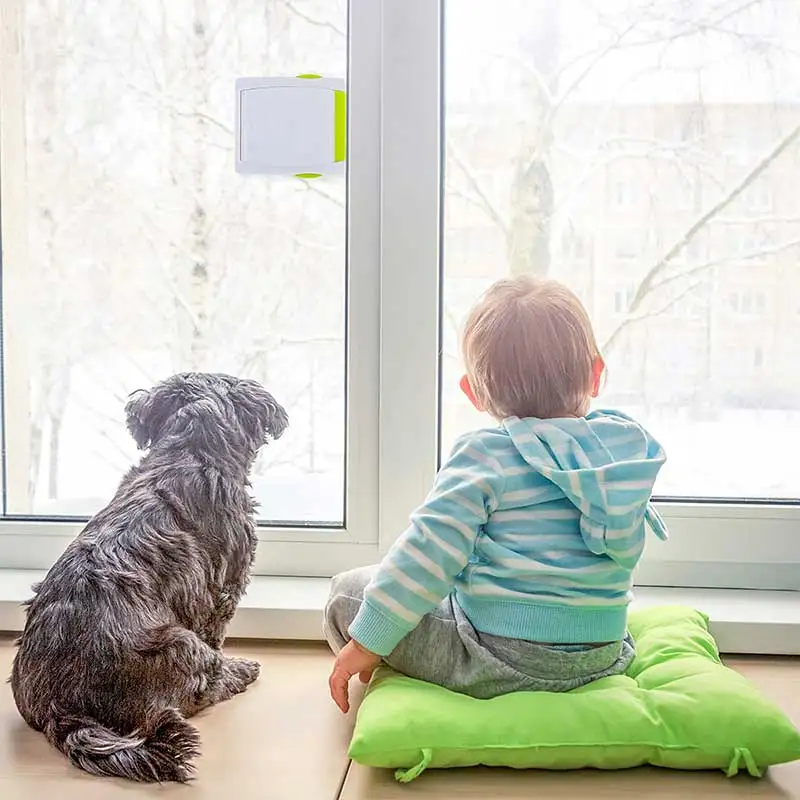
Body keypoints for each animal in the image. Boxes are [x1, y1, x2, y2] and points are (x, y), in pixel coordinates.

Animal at [8, 374, 288, 780]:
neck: (188, 452)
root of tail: (59, 708)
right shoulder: (223, 592)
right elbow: (217, 638)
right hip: (181, 644)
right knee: (202, 687)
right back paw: (240, 672)